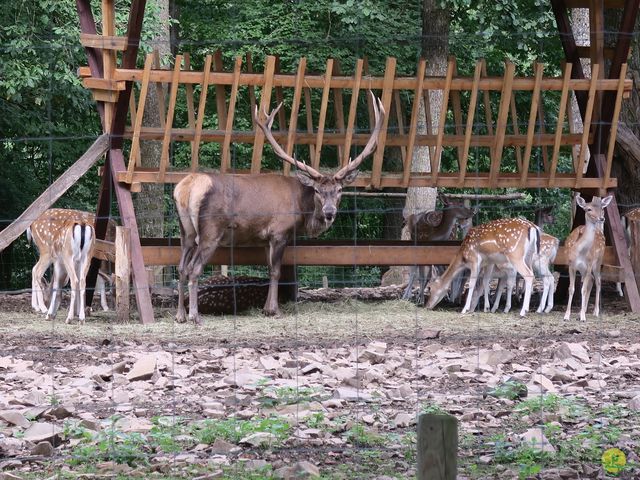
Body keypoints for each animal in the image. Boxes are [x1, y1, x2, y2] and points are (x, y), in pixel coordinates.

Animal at [172, 92, 384, 324]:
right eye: (317, 190)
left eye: (339, 190)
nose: (329, 213)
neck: (301, 209)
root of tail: (186, 187)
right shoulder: (280, 232)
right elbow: (276, 271)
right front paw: (274, 310)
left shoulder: (265, 239)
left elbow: (268, 269)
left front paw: (266, 308)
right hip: (211, 231)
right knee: (193, 269)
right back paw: (194, 316)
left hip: (186, 231)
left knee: (180, 267)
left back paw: (180, 315)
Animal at [564, 194, 616, 322]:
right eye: (588, 209)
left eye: (602, 208)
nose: (602, 218)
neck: (579, 252)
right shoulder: (571, 265)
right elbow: (571, 289)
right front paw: (567, 315)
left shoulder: (588, 265)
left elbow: (583, 289)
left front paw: (583, 317)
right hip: (583, 269)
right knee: (592, 280)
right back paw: (581, 311)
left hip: (598, 261)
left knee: (598, 281)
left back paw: (594, 311)